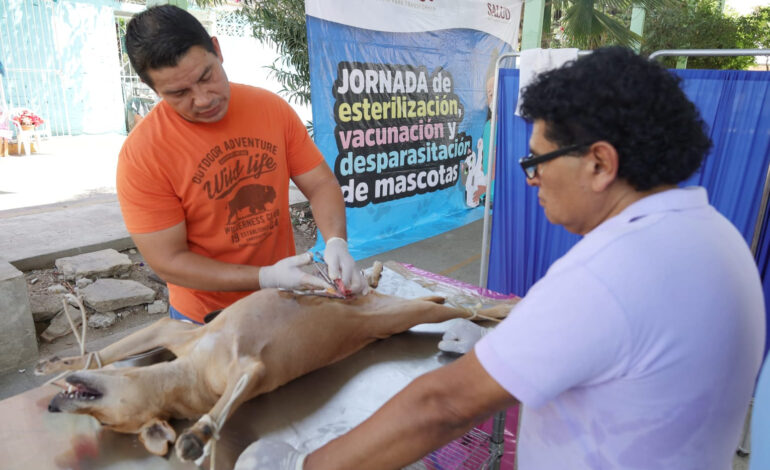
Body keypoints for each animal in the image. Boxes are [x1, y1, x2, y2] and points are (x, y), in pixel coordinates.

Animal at [37, 268, 516, 462]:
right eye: (108, 425)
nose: (53, 407)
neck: (187, 372)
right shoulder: (237, 366)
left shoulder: (204, 348)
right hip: (393, 316)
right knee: (439, 303)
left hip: (400, 311)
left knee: (460, 308)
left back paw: (503, 308)